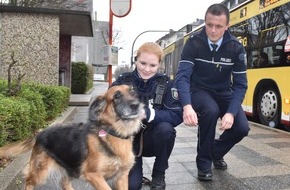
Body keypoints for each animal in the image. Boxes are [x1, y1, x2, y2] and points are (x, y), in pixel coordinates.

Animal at [0, 85, 145, 190]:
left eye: (133, 93)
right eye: (117, 96)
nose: (136, 105)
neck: (114, 133)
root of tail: (41, 132)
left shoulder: (122, 177)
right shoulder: (93, 175)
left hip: (71, 167)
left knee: (64, 184)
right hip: (40, 172)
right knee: (29, 181)